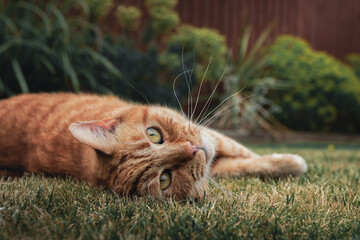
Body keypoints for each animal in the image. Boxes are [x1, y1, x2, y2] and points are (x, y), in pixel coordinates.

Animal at [0, 94, 306, 201]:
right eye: (164, 179)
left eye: (154, 135)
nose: (192, 149)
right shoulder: (214, 162)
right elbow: (245, 164)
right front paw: (294, 163)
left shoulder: (212, 135)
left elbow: (247, 154)